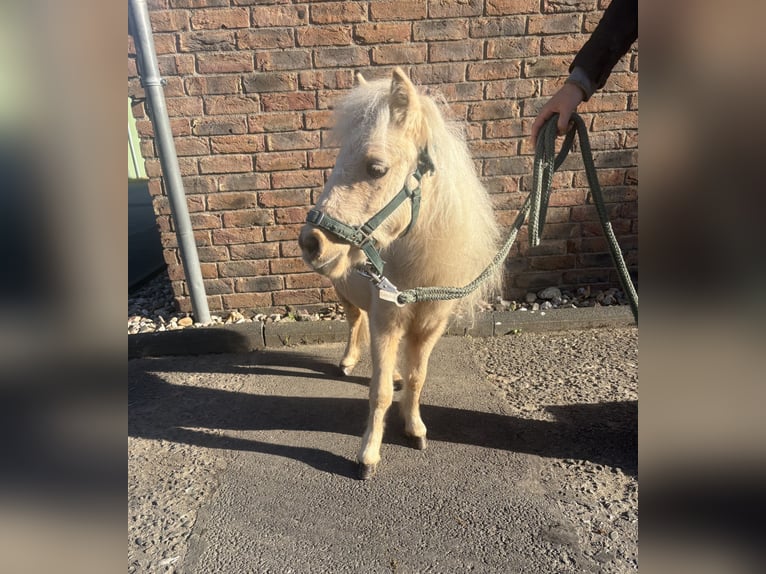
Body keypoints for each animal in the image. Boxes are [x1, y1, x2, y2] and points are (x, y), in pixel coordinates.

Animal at [298, 67, 502, 479]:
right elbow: (378, 394)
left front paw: (415, 429)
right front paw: (368, 456)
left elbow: (416, 378)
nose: (310, 243)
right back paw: (348, 361)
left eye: (377, 168)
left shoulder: (429, 328)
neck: (416, 277)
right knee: (354, 324)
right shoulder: (385, 322)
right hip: (347, 298)